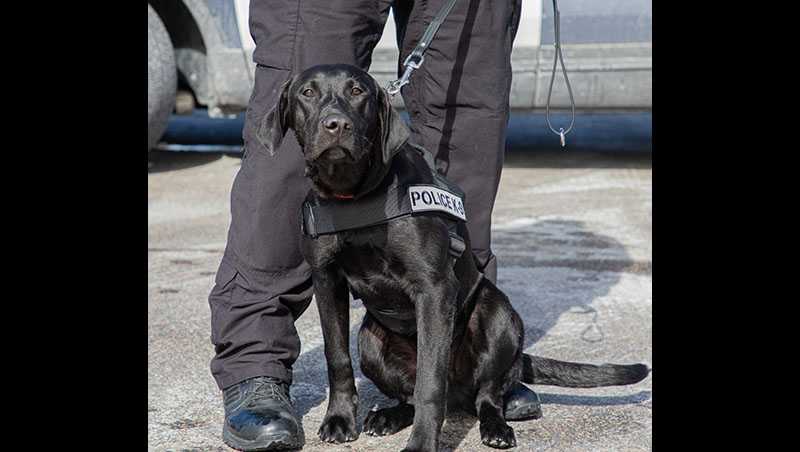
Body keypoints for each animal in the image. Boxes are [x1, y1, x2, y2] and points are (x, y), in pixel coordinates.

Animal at [258, 64, 648, 452]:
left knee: (486, 394)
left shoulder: (433, 289)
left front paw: (421, 444)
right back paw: (388, 416)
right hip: (369, 340)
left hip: (498, 315)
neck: (355, 196)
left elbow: (431, 383)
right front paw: (339, 419)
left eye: (358, 92)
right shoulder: (327, 282)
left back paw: (496, 426)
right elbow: (336, 357)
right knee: (409, 395)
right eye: (307, 93)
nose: (336, 124)